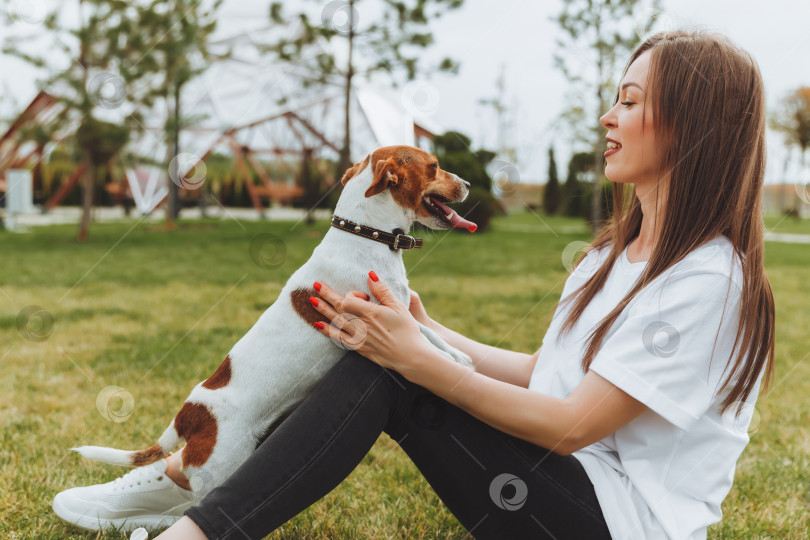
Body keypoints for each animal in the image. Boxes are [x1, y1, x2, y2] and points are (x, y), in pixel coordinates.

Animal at [72, 147, 476, 498]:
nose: (470, 183)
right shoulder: (376, 319)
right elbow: (422, 337)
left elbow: (429, 333)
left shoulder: (397, 312)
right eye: (435, 166)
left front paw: (458, 357)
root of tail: (188, 414)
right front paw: (453, 362)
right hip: (219, 469)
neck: (365, 234)